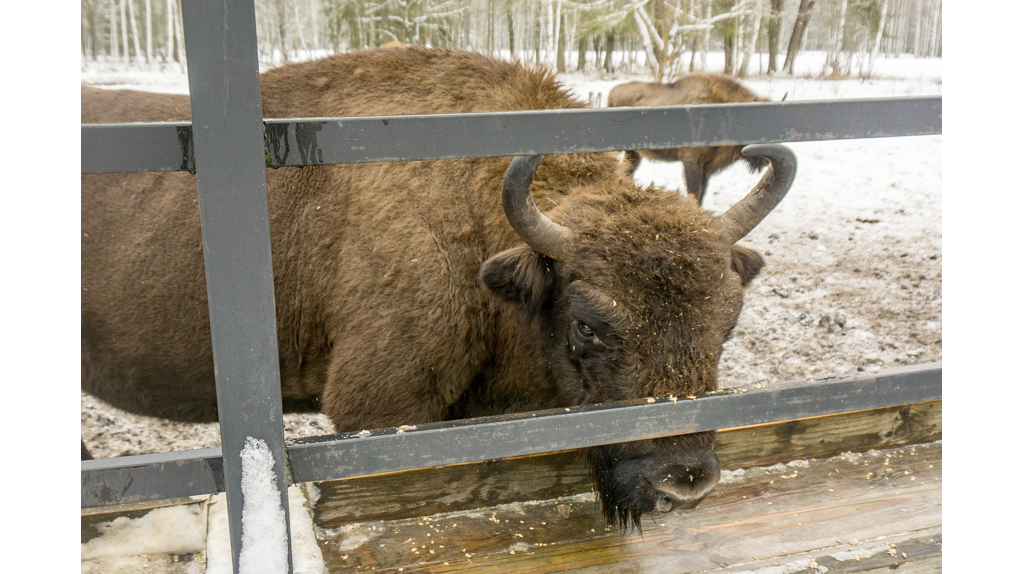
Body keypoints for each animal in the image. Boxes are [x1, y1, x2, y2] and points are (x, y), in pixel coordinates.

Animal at [606, 72, 774, 204]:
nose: (767, 160)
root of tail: (613, 92)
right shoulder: (692, 163)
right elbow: (695, 193)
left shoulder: (707, 168)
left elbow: (702, 194)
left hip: (634, 153)